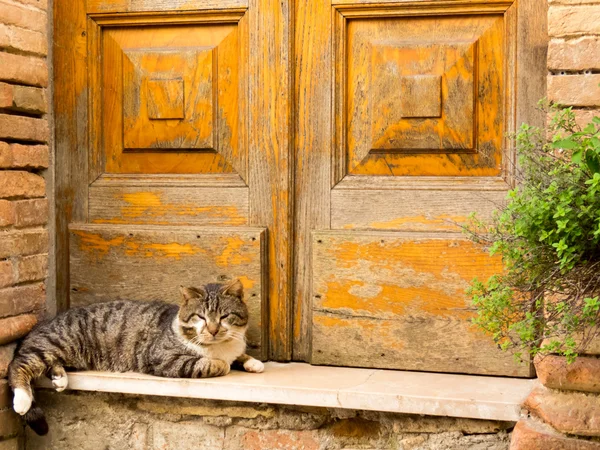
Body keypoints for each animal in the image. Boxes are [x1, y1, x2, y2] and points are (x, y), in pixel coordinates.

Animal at [8, 280, 264, 434]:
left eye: (224, 316)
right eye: (200, 317)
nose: (212, 330)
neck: (218, 345)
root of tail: (38, 326)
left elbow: (238, 355)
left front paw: (252, 362)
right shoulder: (164, 358)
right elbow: (214, 364)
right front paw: (223, 363)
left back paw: (59, 377)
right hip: (58, 343)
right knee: (18, 364)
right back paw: (22, 399)